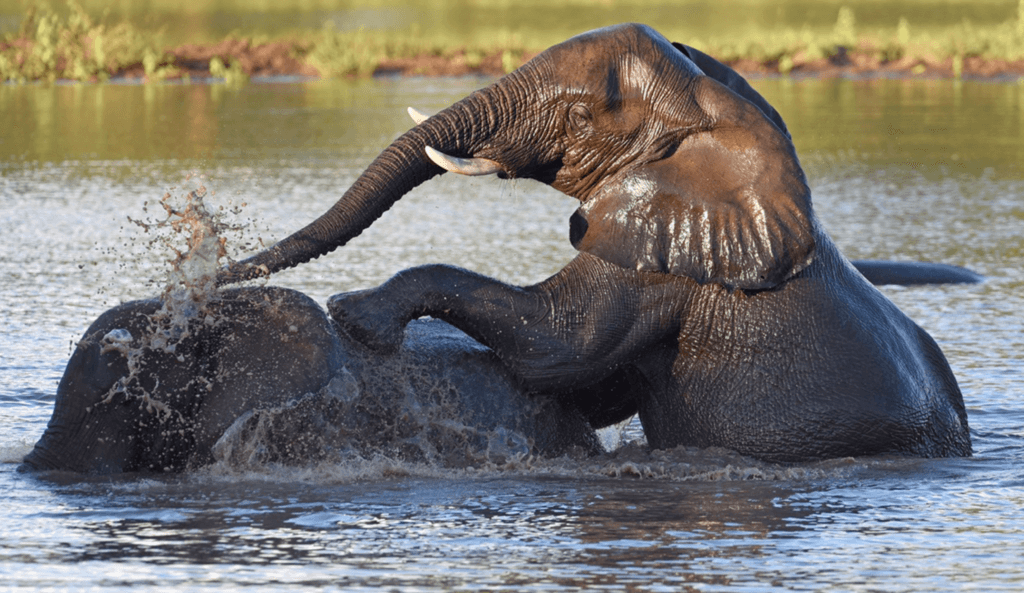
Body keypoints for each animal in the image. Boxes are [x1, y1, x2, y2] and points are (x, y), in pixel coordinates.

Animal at [220, 24, 970, 464]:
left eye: (581, 116)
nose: (215, 269)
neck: (714, 116)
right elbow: (598, 385)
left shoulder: (655, 266)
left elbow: (559, 346)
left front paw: (355, 313)